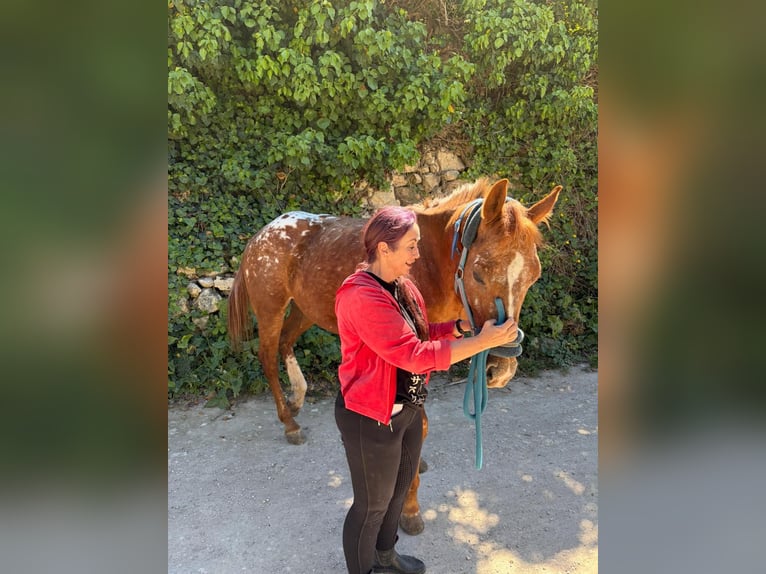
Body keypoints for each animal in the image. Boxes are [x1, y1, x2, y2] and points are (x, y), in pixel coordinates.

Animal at [227, 177, 561, 534]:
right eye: (479, 274)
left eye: (534, 276)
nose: (501, 369)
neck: (431, 261)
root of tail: (265, 232)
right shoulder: (413, 353)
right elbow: (420, 424)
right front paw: (410, 510)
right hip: (271, 310)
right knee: (267, 356)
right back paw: (289, 423)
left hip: (304, 310)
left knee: (286, 344)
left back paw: (297, 400)